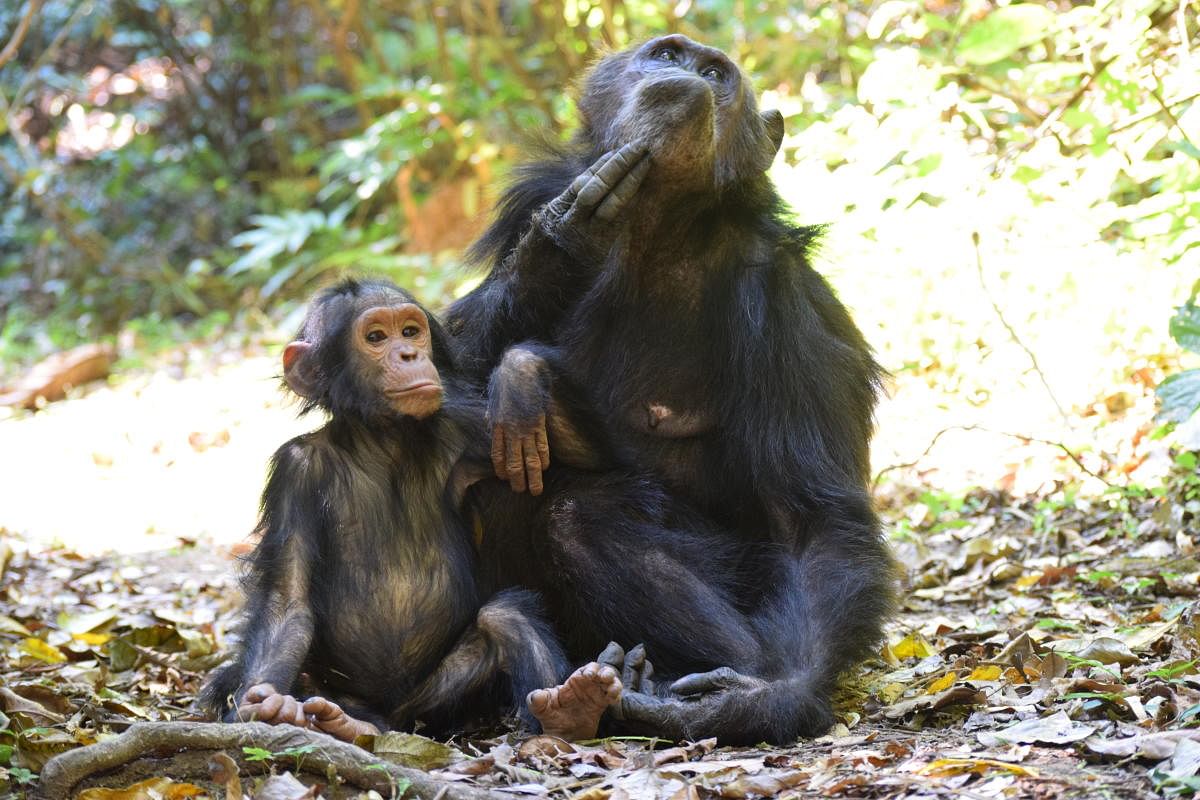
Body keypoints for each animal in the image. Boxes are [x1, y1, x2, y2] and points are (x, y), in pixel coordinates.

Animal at [199, 280, 619, 743]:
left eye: (412, 332)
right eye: (376, 337)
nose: (408, 355)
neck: (384, 440)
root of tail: (396, 716)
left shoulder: (469, 428)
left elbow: (592, 461)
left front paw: (519, 375)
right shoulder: (294, 472)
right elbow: (287, 603)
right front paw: (263, 703)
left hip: (436, 706)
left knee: (505, 616)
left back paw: (570, 710)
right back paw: (332, 720)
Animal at [451, 32, 902, 743]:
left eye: (715, 74)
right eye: (667, 54)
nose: (685, 77)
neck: (656, 230)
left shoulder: (787, 302)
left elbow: (813, 519)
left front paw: (762, 696)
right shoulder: (527, 202)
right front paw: (563, 239)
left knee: (577, 515)